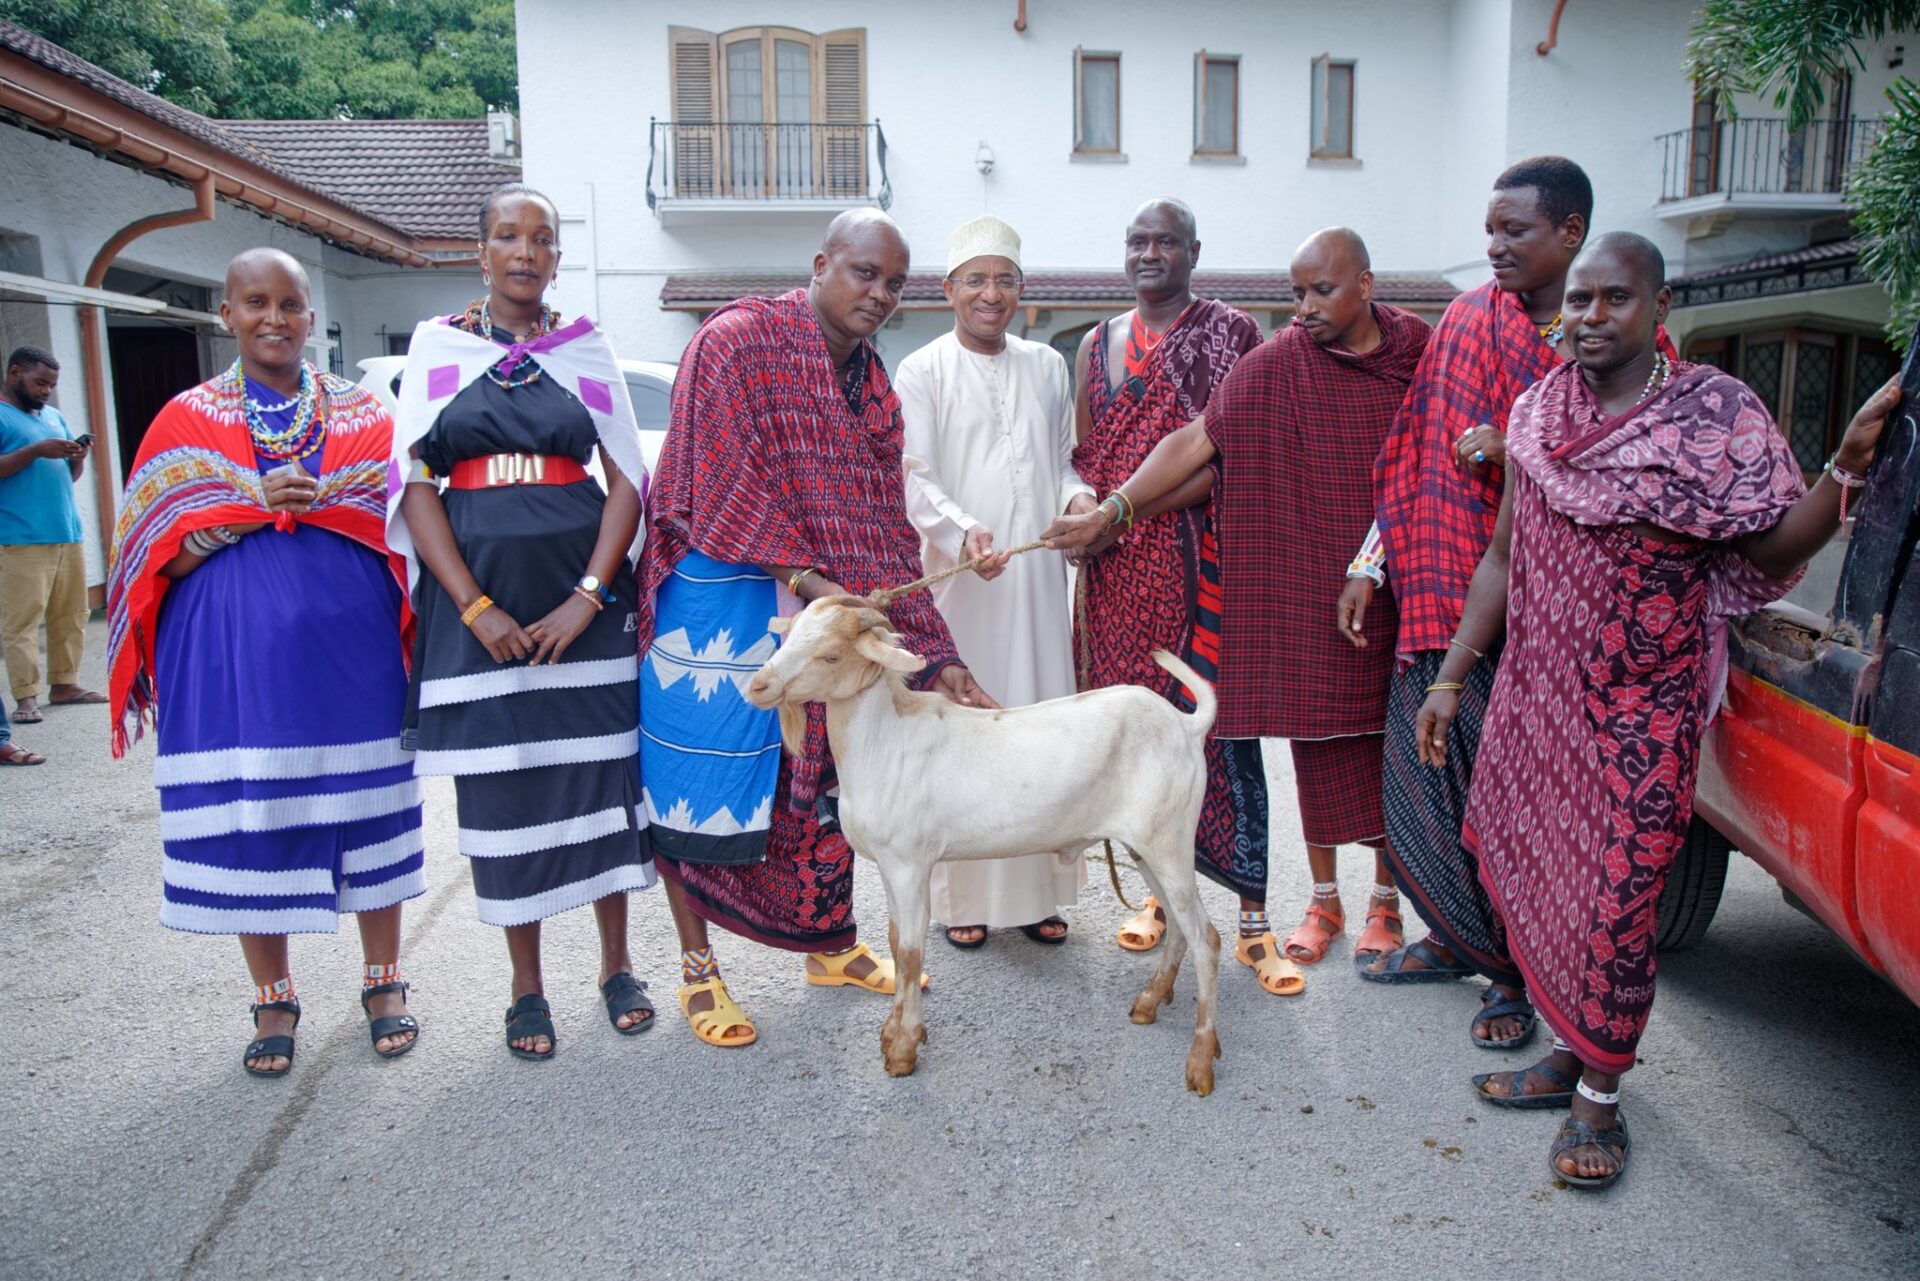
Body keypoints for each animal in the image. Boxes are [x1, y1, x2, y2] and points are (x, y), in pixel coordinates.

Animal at [741, 595, 1221, 1098]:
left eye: (831, 655)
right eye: (790, 636)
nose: (758, 686)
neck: (888, 741)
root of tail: (1186, 725)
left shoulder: (911, 865)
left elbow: (910, 953)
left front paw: (903, 1049)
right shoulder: (891, 866)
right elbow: (894, 941)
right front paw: (893, 1032)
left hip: (1169, 842)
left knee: (1206, 938)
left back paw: (1200, 1062)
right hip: (1146, 848)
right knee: (1180, 927)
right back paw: (1149, 1001)